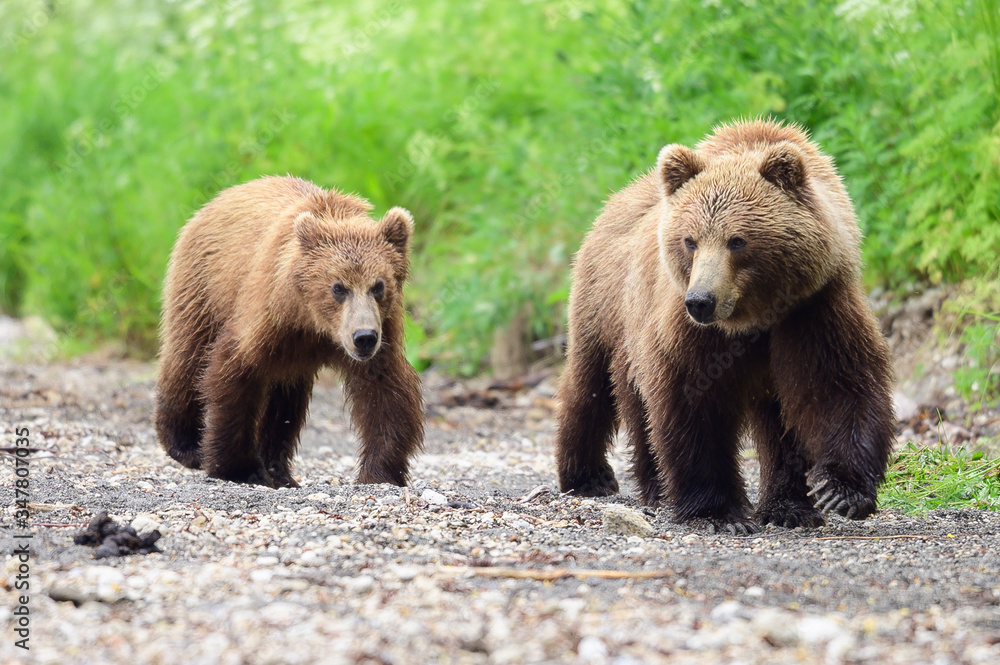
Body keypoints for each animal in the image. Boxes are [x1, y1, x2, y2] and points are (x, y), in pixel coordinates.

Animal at [155, 176, 424, 488]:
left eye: (378, 285)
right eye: (338, 287)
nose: (364, 337)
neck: (314, 323)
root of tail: (217, 199)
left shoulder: (382, 329)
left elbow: (386, 391)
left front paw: (379, 473)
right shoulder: (268, 314)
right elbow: (233, 372)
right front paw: (238, 467)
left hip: (289, 359)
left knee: (284, 402)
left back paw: (278, 470)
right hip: (203, 287)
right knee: (189, 356)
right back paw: (184, 444)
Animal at [554, 119, 895, 533]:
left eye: (737, 240)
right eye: (690, 240)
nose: (701, 300)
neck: (753, 317)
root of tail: (613, 201)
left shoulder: (813, 307)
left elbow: (839, 385)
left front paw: (839, 492)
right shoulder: (688, 330)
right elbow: (691, 400)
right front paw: (719, 513)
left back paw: (787, 507)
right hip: (606, 308)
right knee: (592, 385)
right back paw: (592, 476)